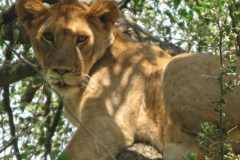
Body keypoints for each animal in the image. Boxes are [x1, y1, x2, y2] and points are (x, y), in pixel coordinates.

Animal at [15, 0, 240, 159]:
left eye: (81, 39)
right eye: (48, 36)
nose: (61, 70)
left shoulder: (108, 124)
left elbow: (70, 155)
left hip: (176, 66)